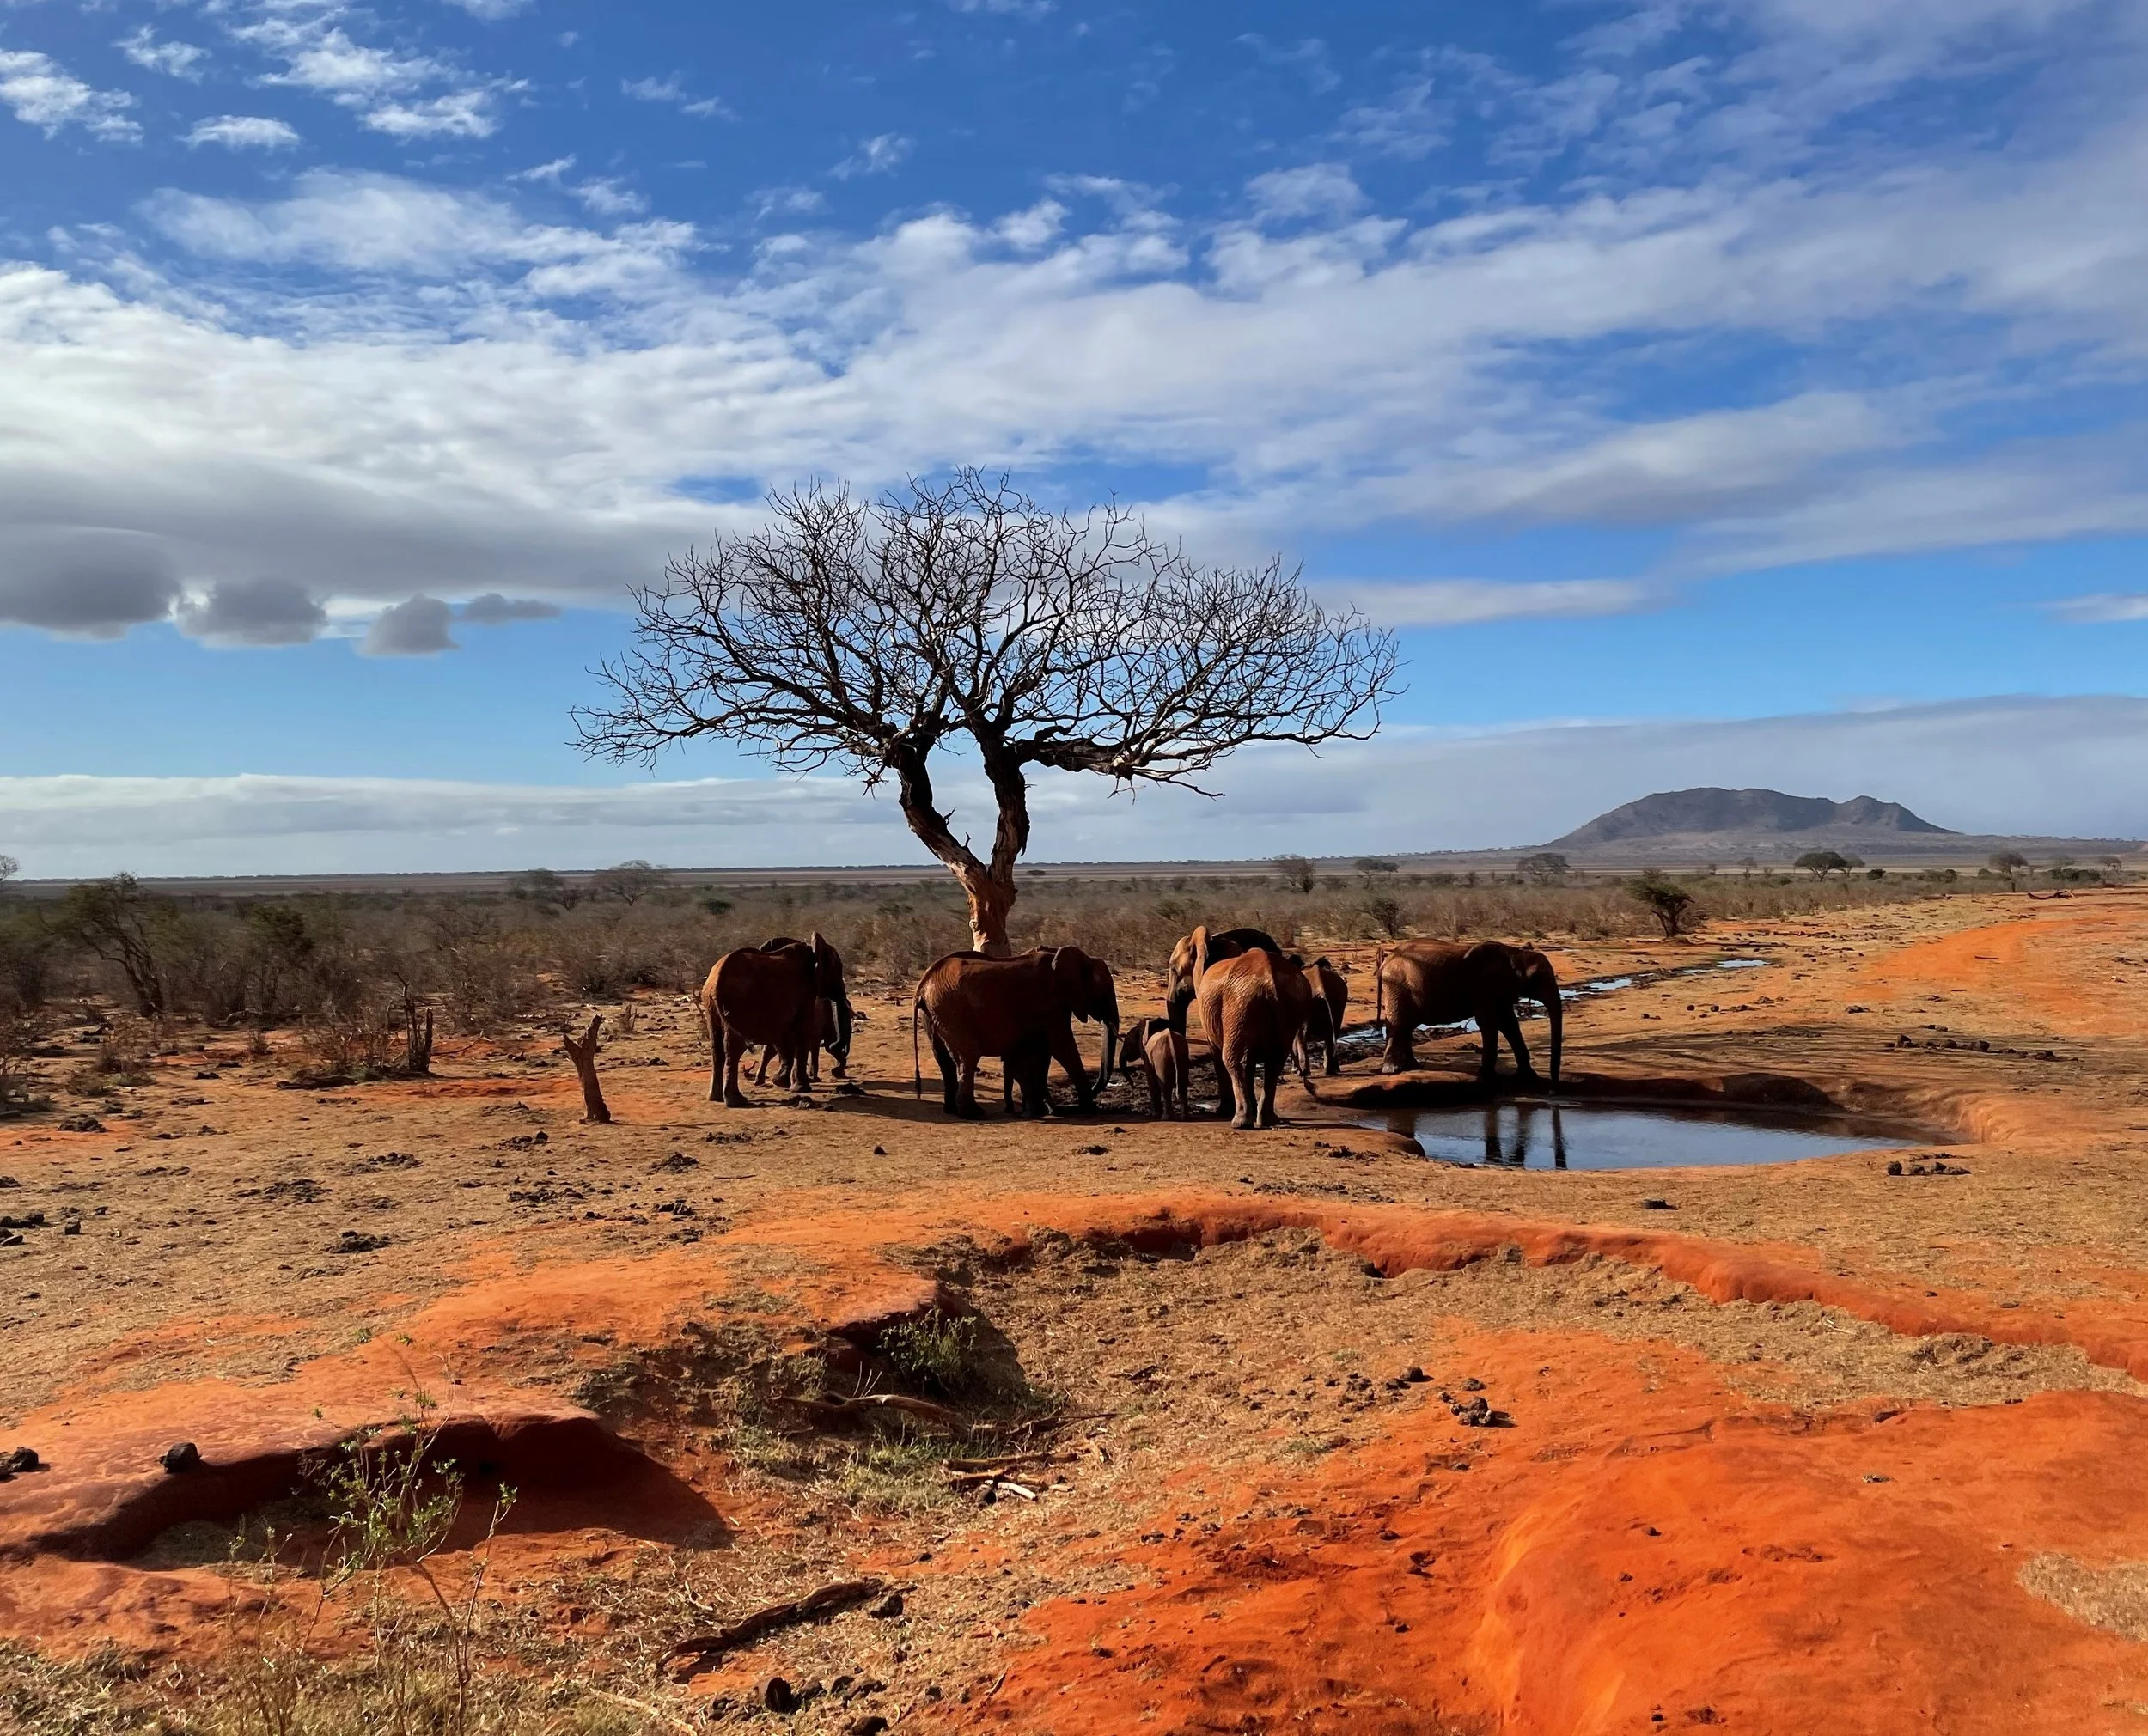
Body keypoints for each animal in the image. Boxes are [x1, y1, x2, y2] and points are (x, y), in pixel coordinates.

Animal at [699, 932, 849, 1108]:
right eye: (838, 969)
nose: (836, 1071)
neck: (812, 948)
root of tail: (715, 980)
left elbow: (783, 1037)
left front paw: (781, 1082)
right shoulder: (806, 992)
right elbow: (802, 1030)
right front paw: (801, 1088)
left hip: (710, 1003)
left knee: (716, 1048)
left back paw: (715, 1098)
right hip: (736, 1005)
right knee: (734, 1048)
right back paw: (737, 1101)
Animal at [912, 946, 1119, 1118]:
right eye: (1104, 991)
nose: (1072, 1105)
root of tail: (922, 986)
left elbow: (1042, 1053)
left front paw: (1047, 1110)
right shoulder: (1050, 1005)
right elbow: (1062, 1047)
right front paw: (1089, 1109)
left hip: (933, 1014)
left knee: (944, 1060)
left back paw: (952, 1110)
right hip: (952, 1010)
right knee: (968, 1057)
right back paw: (973, 1114)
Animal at [1184, 925, 1313, 1130]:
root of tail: (1270, 981)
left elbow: (1217, 1052)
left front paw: (1222, 1112)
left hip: (1241, 1003)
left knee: (1234, 1059)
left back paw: (1240, 1123)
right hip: (1285, 1003)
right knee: (1273, 1060)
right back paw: (1268, 1120)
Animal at [1290, 955, 1349, 1078]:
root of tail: (1321, 988)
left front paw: (1294, 1070)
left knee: (1302, 1037)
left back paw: (1303, 1072)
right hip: (1337, 1002)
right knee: (1333, 1034)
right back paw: (1329, 1071)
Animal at [1373, 940, 1562, 1087]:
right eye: (1538, 979)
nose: (1553, 1085)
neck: (1516, 954)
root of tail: (1386, 961)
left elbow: (1509, 1022)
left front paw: (1528, 1077)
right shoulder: (1484, 986)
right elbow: (1489, 1022)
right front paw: (1489, 1076)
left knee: (1406, 1025)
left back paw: (1414, 1066)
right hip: (1396, 985)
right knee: (1398, 1023)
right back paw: (1393, 1070)